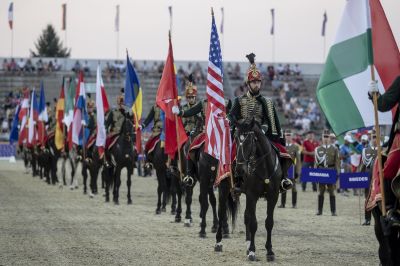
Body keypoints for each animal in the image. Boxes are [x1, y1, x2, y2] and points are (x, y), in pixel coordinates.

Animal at [231, 119, 282, 260]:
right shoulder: (251, 195)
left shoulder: (273, 196)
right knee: (247, 217)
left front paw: (269, 251)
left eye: (249, 141)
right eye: (235, 139)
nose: (239, 170)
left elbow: (269, 222)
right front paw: (252, 251)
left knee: (246, 216)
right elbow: (253, 223)